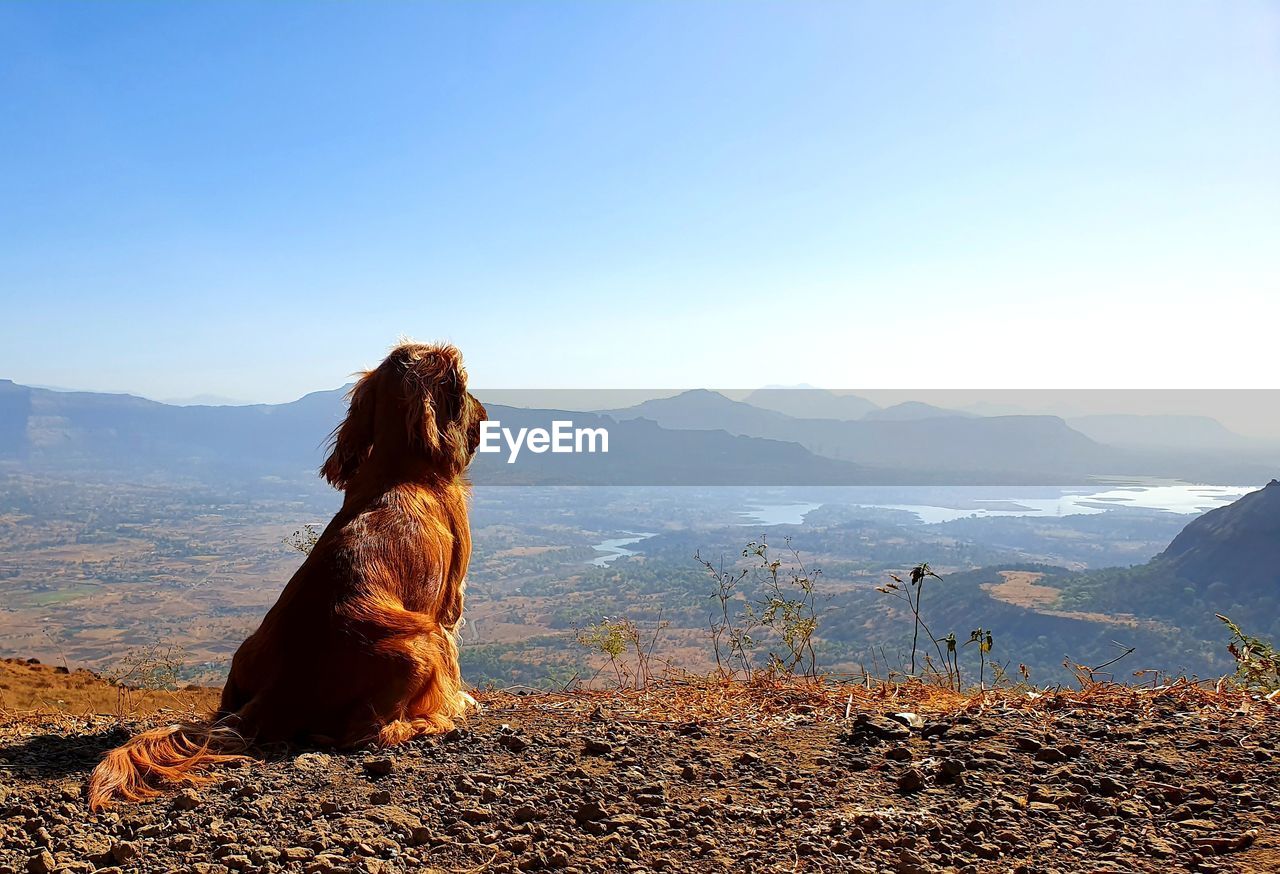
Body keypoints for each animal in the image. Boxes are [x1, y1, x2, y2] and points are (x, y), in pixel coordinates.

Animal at [86, 342, 483, 808]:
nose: (485, 416)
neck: (397, 469)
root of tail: (279, 691)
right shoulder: (450, 606)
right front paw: (458, 701)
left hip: (246, 651)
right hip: (422, 644)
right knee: (370, 733)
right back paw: (428, 722)